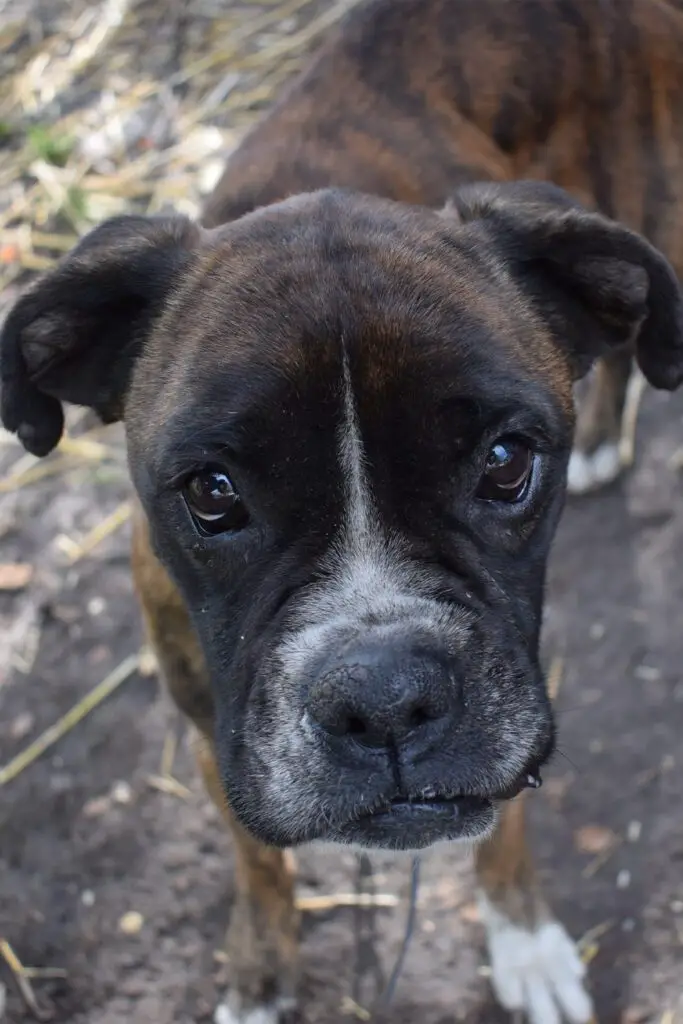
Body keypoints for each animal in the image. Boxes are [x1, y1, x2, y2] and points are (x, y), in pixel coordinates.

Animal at [1, 2, 683, 1024]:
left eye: (505, 462)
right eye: (211, 493)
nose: (385, 695)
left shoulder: (517, 680)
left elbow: (506, 825)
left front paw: (522, 937)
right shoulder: (212, 732)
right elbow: (256, 859)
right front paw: (261, 967)